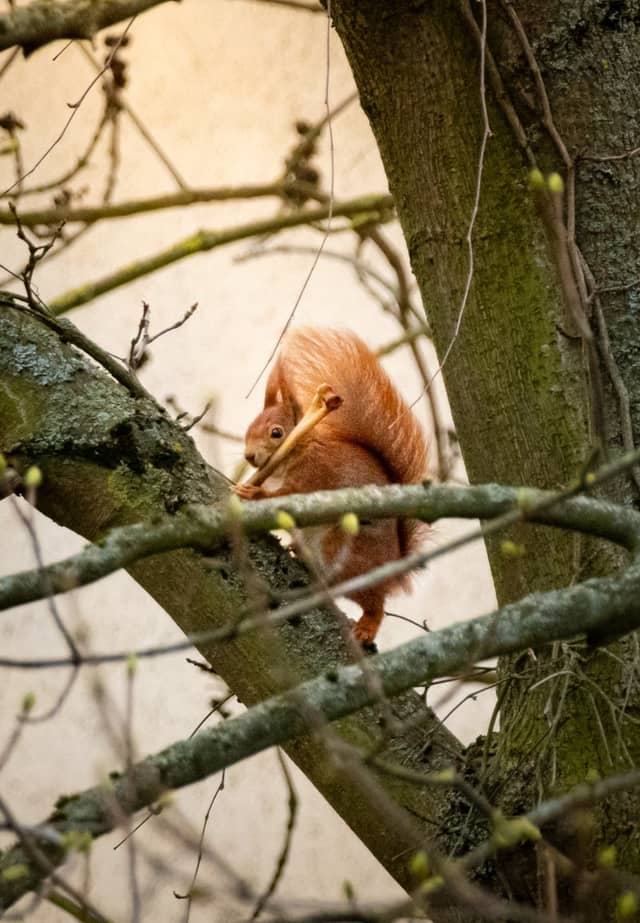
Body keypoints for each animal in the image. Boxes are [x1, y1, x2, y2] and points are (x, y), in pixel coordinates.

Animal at [235, 327, 428, 646]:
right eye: (248, 429)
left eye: (276, 433)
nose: (249, 456)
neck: (296, 452)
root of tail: (393, 568)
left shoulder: (315, 477)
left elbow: (289, 498)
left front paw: (254, 493)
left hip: (343, 552)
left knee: (374, 603)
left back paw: (366, 626)